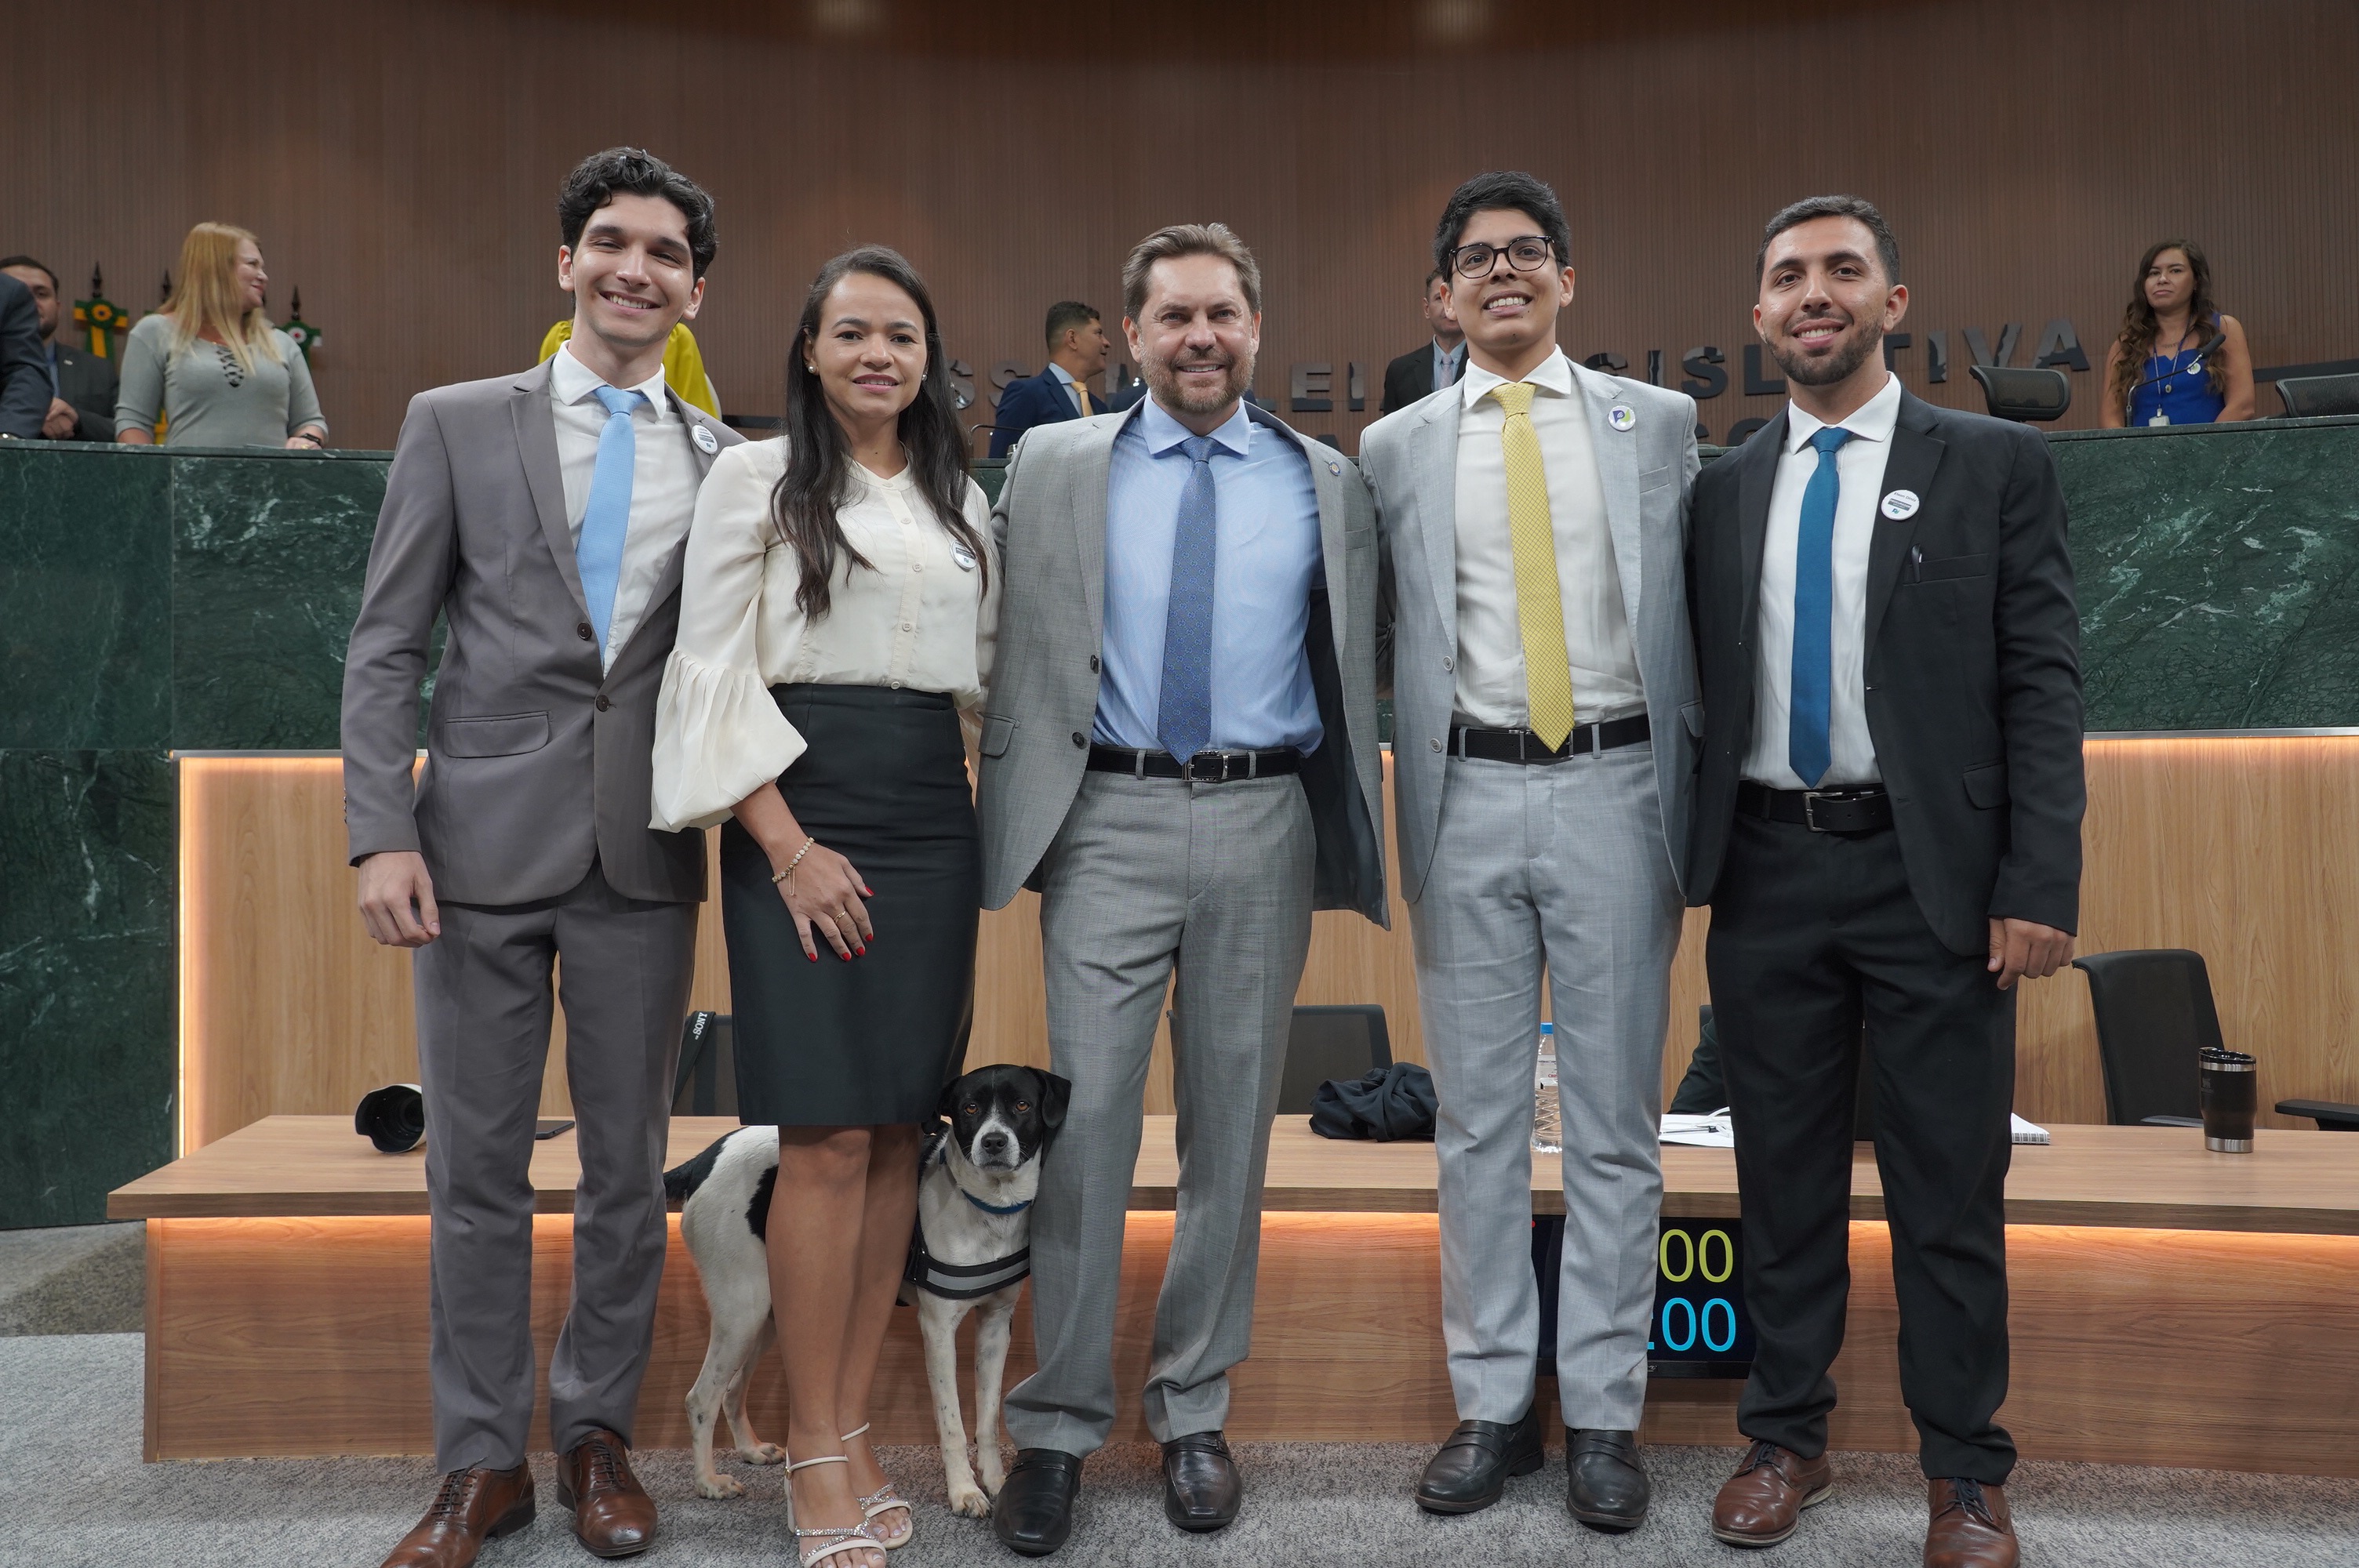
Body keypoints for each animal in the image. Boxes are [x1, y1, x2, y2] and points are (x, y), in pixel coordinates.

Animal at [666, 1063, 1070, 1517]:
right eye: (970, 1108)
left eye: (1022, 1105)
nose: (994, 1141)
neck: (987, 1208)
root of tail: (701, 1161)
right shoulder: (937, 1328)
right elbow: (951, 1423)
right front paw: (964, 1491)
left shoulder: (996, 1326)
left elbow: (987, 1419)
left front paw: (999, 1482)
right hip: (741, 1313)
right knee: (701, 1398)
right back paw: (708, 1483)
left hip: (771, 1313)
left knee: (732, 1390)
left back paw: (751, 1450)